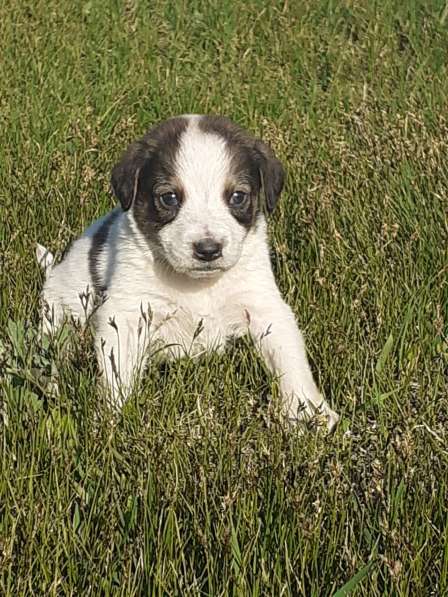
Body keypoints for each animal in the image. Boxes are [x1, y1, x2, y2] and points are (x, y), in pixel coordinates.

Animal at [38, 114, 338, 428]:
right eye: (169, 198)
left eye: (237, 196)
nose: (208, 249)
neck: (198, 285)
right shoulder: (128, 313)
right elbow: (117, 369)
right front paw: (113, 418)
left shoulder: (262, 304)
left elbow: (288, 356)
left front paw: (309, 411)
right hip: (59, 312)